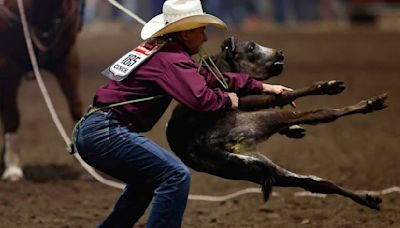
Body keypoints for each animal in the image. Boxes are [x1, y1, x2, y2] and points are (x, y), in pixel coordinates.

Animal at [165, 37, 384, 210]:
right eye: (251, 47)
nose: (280, 52)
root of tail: (208, 148)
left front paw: (293, 130)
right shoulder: (246, 101)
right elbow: (282, 96)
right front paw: (326, 87)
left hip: (263, 169)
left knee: (317, 184)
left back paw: (369, 200)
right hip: (264, 122)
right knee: (322, 114)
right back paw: (368, 103)